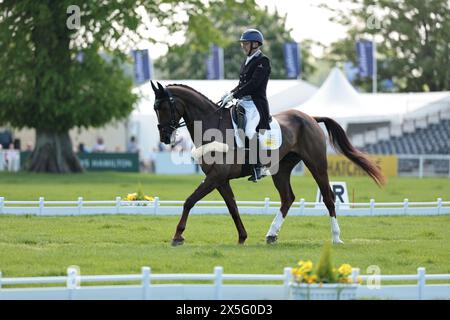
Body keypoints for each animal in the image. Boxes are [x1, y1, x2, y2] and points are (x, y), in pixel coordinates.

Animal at [150, 82, 384, 245]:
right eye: (155, 108)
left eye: (164, 107)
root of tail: (310, 117)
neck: (212, 124)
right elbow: (232, 207)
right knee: (287, 198)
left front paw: (177, 236)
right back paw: (271, 234)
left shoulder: (216, 176)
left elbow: (189, 201)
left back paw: (336, 237)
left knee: (328, 198)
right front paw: (242, 237)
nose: (164, 137)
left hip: (316, 164)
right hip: (281, 169)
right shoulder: (219, 179)